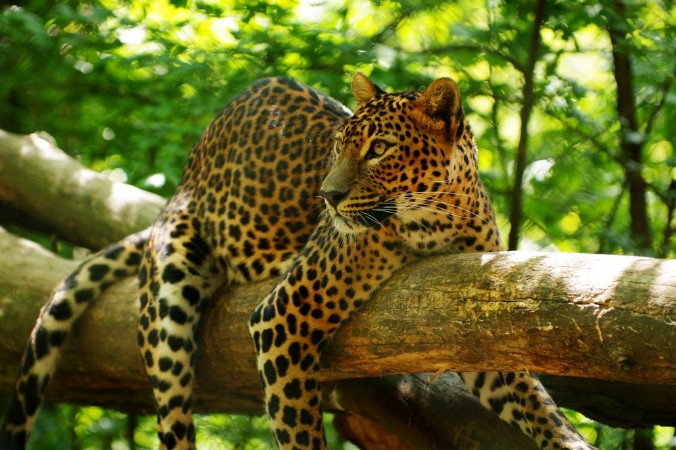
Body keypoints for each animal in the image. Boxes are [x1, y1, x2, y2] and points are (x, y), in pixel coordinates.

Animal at [1, 73, 594, 450]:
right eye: (339, 145)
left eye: (379, 149)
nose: (327, 197)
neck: (438, 220)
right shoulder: (282, 316)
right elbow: (299, 429)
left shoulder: (472, 323)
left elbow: (537, 403)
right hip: (169, 292)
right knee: (174, 415)